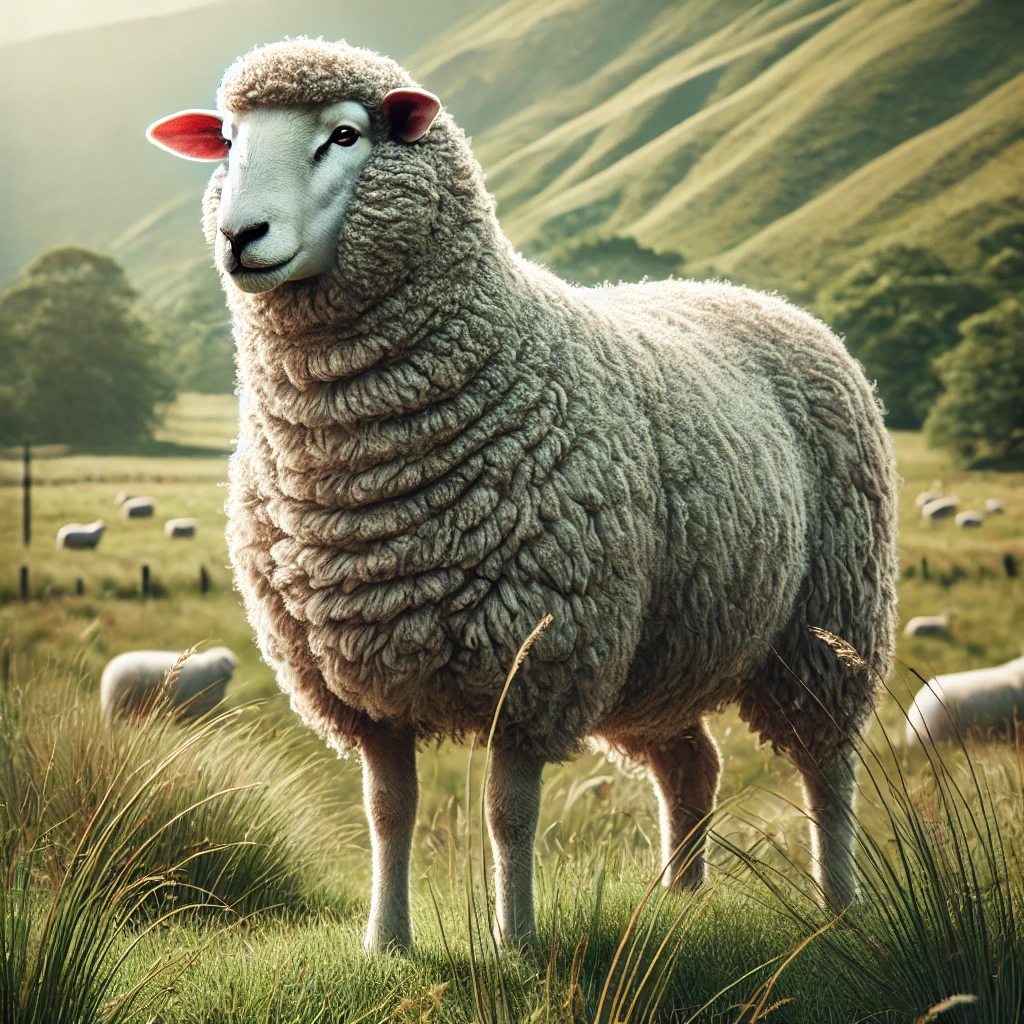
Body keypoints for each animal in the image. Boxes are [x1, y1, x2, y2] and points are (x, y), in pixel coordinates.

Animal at [148, 38, 899, 953]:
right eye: (225, 141)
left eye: (345, 135)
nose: (239, 236)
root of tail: (760, 297)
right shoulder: (361, 678)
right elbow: (388, 812)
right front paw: (386, 942)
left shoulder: (538, 658)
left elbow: (508, 815)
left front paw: (514, 944)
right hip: (661, 653)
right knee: (693, 763)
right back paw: (681, 901)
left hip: (829, 618)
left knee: (828, 765)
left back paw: (838, 905)